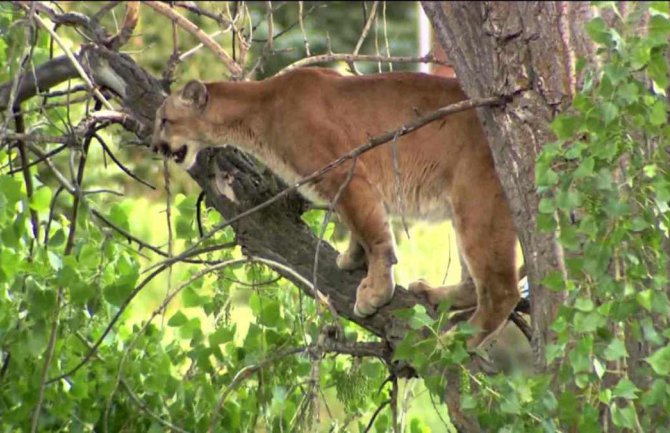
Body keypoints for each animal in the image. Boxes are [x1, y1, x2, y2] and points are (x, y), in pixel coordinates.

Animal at [152, 67, 520, 348]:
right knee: (476, 285)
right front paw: (352, 258)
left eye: (165, 120)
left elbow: (375, 235)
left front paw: (376, 291)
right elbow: (361, 226)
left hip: (477, 206)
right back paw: (433, 294)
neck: (260, 109)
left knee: (502, 290)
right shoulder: (353, 188)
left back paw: (457, 340)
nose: (153, 145)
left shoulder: (347, 172)